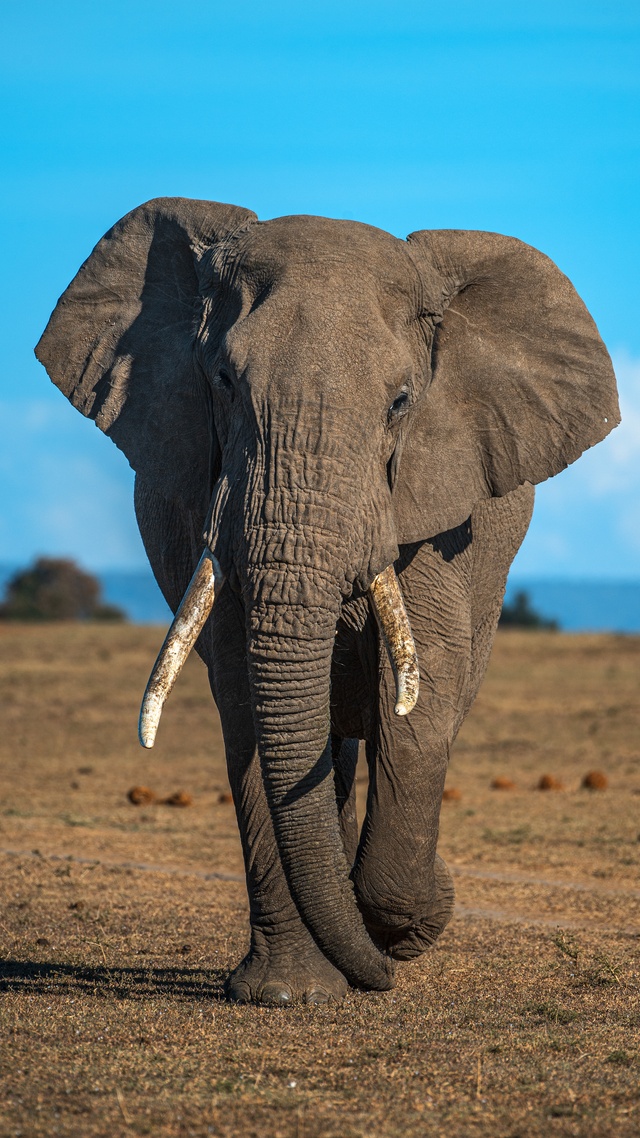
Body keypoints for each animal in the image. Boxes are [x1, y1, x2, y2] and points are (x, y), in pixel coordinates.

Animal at [36, 198, 619, 1005]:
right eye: (222, 381)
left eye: (402, 402)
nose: (383, 973)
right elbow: (248, 697)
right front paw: (290, 992)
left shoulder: (431, 506)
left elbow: (421, 692)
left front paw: (396, 929)